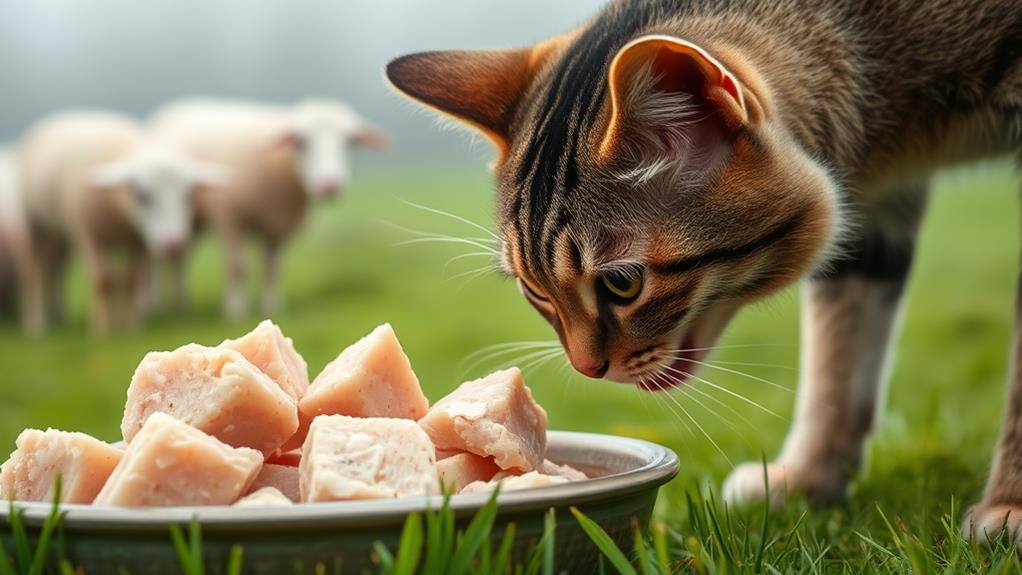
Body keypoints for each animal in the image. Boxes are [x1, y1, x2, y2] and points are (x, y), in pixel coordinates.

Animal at [17, 111, 228, 335]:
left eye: (188, 195)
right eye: (142, 195)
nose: (174, 245)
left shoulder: (136, 239)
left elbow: (130, 279)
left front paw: (131, 327)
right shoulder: (87, 232)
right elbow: (102, 280)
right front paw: (101, 329)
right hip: (34, 222)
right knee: (34, 270)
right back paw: (36, 323)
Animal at [150, 98, 387, 318]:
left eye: (350, 142)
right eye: (301, 141)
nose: (329, 186)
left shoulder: (277, 226)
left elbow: (273, 269)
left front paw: (271, 307)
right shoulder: (229, 216)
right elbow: (237, 265)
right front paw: (235, 310)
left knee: (180, 259)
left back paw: (180, 303)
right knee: (167, 259)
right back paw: (164, 304)